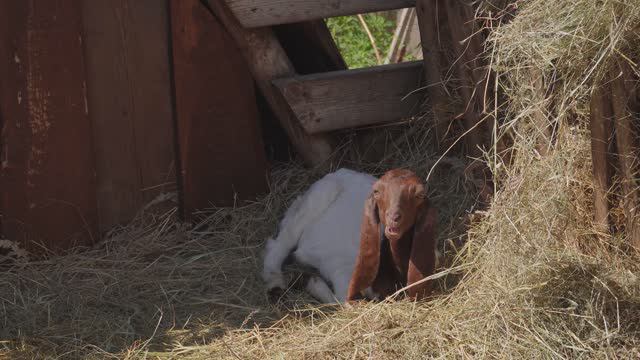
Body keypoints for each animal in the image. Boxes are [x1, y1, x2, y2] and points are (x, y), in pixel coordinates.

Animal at [262, 167, 438, 302]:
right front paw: (313, 283)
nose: (394, 217)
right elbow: (344, 301)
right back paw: (274, 283)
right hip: (318, 197)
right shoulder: (343, 270)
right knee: (280, 243)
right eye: (377, 192)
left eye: (419, 195)